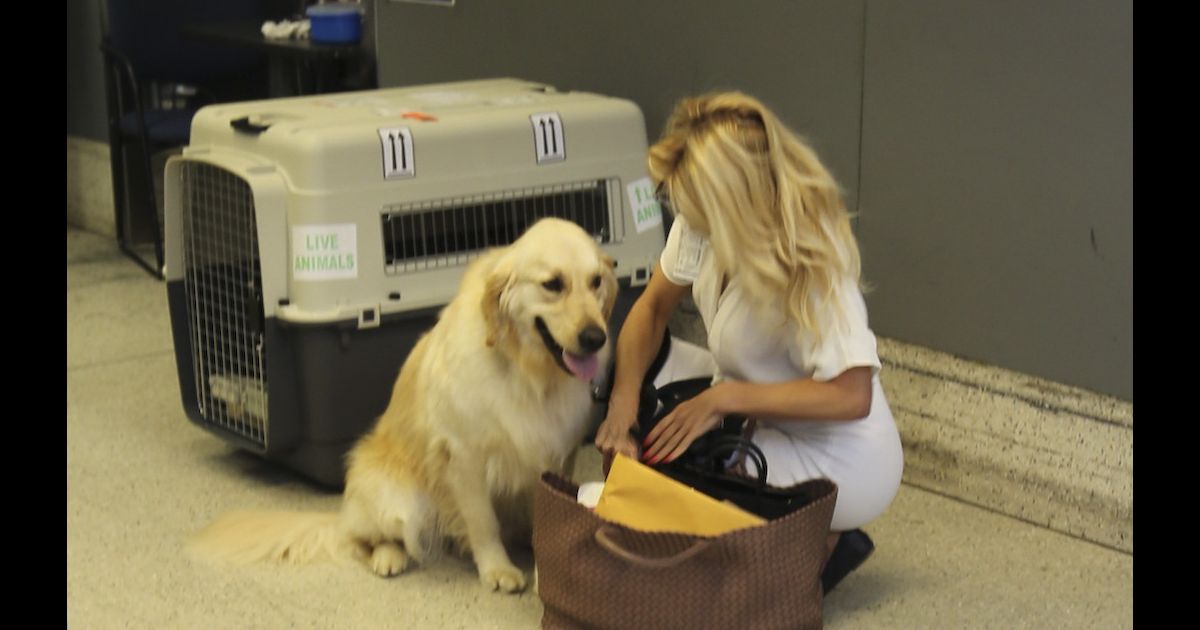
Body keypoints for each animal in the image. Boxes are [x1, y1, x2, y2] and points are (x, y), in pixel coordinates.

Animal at [189, 216, 619, 590]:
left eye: (596, 281)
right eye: (553, 284)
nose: (595, 337)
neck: (528, 372)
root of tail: (343, 514)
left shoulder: (556, 453)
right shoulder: (463, 456)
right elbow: (483, 522)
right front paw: (498, 569)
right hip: (399, 502)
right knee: (364, 541)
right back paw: (388, 556)